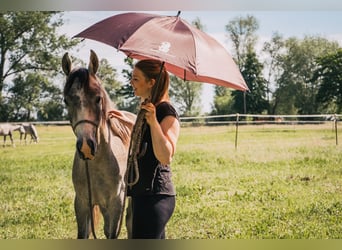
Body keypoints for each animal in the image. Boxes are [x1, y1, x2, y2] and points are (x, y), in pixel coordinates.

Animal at [62, 50, 136, 238]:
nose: (86, 146)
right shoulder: (81, 203)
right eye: (66, 101)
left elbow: (112, 233)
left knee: (130, 220)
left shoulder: (116, 203)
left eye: (98, 99)